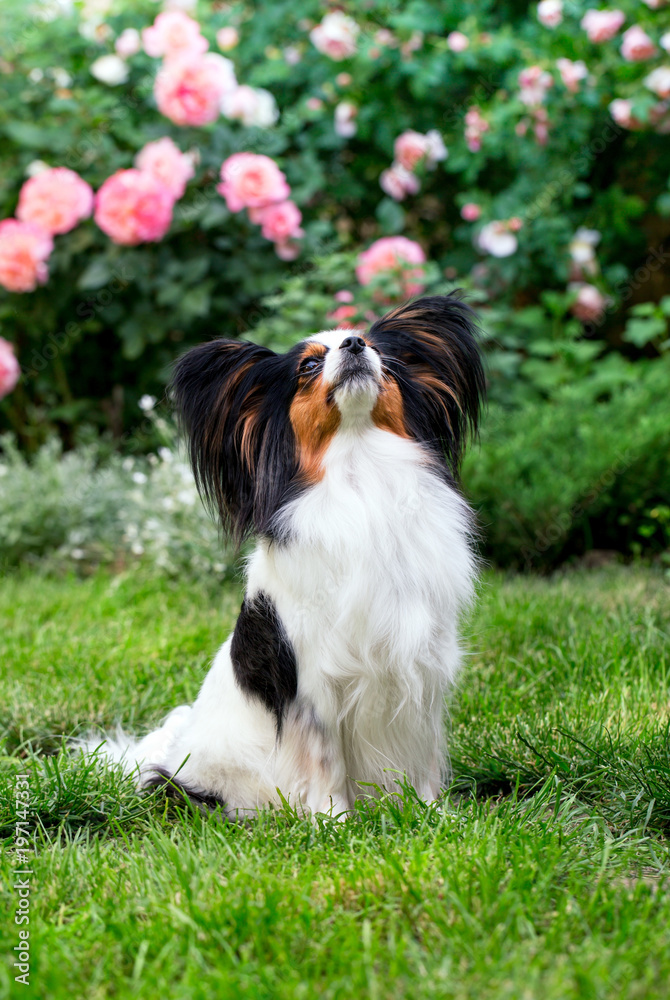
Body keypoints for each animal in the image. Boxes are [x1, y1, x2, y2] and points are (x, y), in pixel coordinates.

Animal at [84, 292, 486, 816]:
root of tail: (165, 759)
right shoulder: (315, 684)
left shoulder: (420, 666)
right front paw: (337, 822)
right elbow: (326, 760)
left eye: (380, 354)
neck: (360, 472)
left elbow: (423, 754)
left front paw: (433, 815)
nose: (355, 345)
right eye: (309, 365)